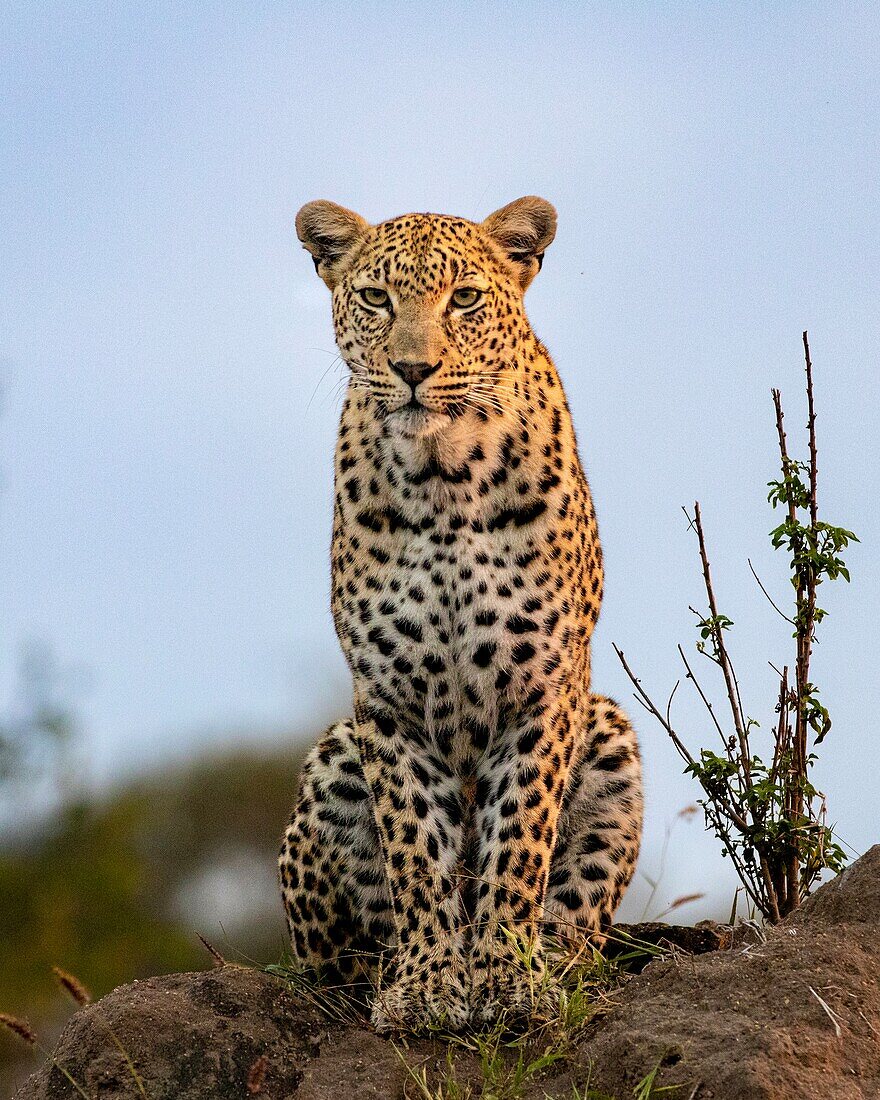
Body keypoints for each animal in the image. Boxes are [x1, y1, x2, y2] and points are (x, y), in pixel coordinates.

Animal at [278, 195, 642, 1029]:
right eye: (376, 298)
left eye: (466, 299)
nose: (413, 370)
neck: (442, 476)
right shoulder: (387, 697)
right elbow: (416, 845)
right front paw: (426, 985)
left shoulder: (544, 685)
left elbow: (519, 840)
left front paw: (507, 980)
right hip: (333, 757)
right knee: (337, 961)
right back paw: (384, 972)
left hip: (610, 734)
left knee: (580, 931)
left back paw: (556, 966)